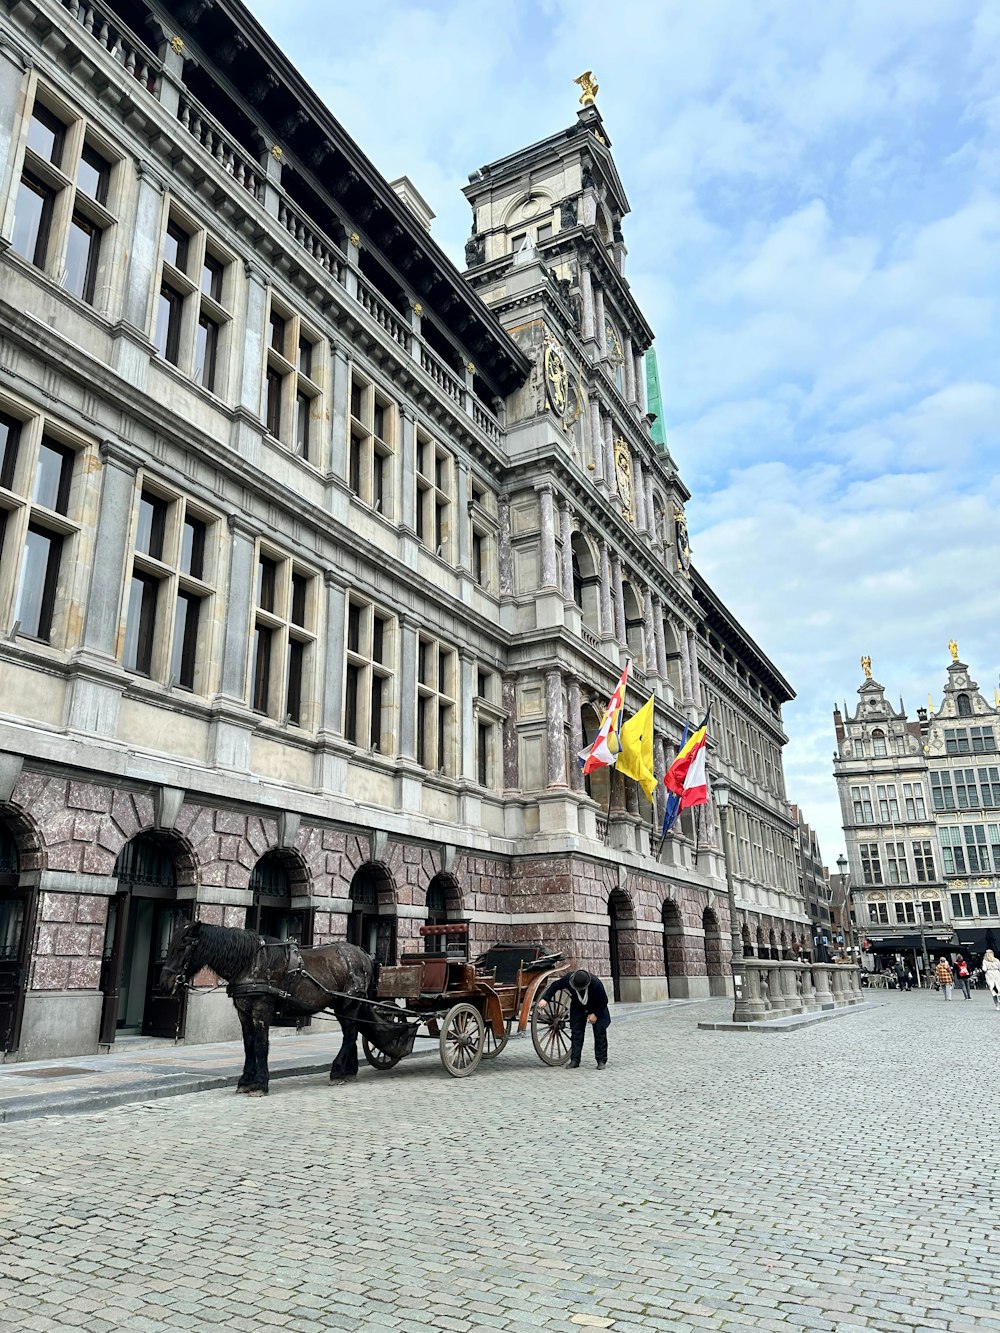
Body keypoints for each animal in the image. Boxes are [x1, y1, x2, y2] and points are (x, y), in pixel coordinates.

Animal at [158, 922, 402, 1098]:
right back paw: (348, 1071)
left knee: (350, 1032)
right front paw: (245, 1081)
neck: (250, 962)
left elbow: (261, 1044)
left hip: (350, 1003)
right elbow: (248, 1044)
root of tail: (362, 953)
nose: (164, 984)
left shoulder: (262, 1009)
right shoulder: (243, 1011)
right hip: (341, 1004)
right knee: (350, 1032)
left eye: (182, 947)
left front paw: (260, 1084)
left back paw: (337, 1070)